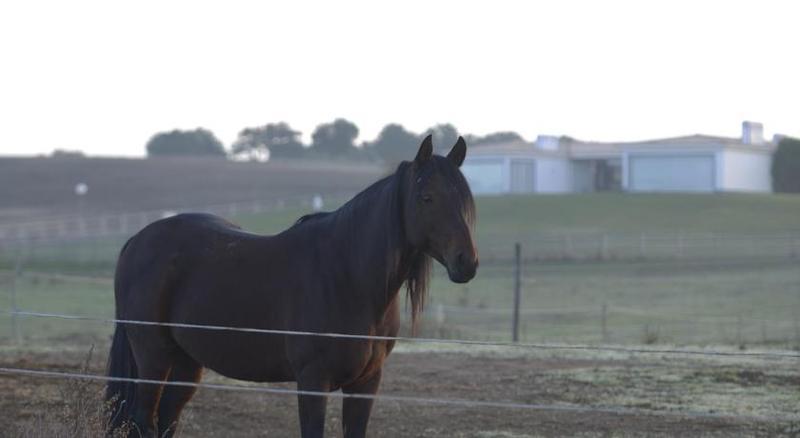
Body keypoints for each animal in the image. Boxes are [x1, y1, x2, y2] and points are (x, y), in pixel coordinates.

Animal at [103, 135, 478, 436]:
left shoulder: (366, 384)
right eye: (427, 197)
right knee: (144, 419)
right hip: (153, 356)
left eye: (464, 199)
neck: (349, 277)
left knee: (167, 419)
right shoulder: (312, 382)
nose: (467, 262)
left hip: (187, 361)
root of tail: (136, 240)